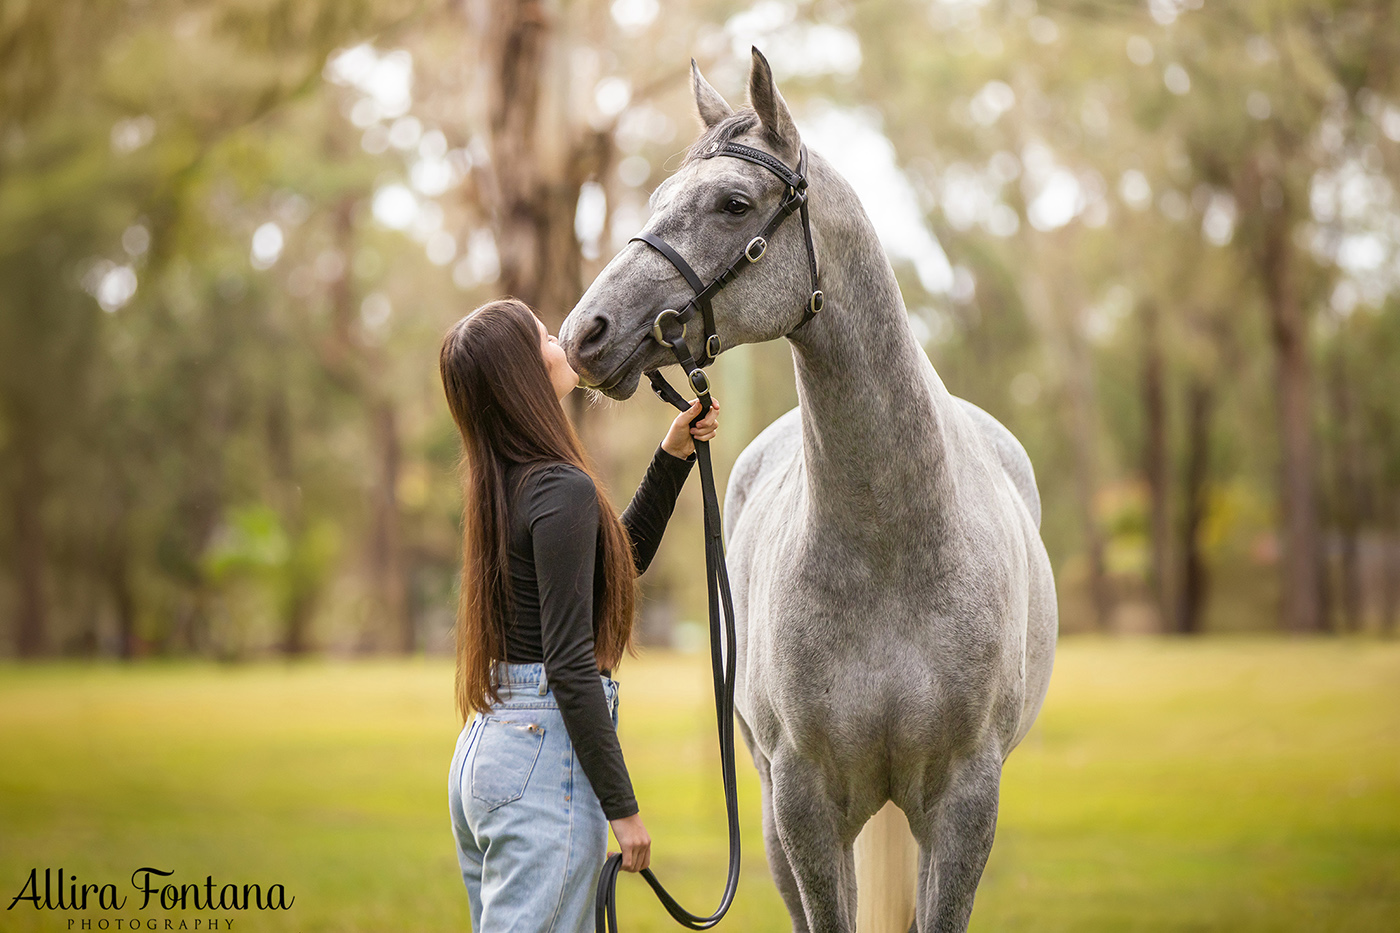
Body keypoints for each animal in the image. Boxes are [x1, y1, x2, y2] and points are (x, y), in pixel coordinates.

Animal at [554, 49, 1052, 930]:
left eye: (734, 202)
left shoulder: (966, 802)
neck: (893, 549)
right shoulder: (802, 802)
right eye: (659, 197)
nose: (586, 334)